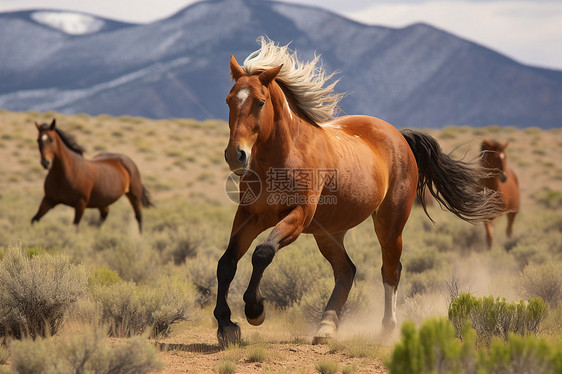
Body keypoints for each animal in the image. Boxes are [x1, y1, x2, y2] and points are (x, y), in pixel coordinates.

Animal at [213, 36, 498, 346]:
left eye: (260, 102)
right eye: (228, 100)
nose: (236, 155)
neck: (284, 155)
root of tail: (399, 136)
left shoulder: (299, 215)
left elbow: (263, 252)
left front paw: (255, 310)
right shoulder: (250, 215)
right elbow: (226, 262)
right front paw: (226, 325)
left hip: (389, 224)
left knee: (390, 270)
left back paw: (386, 328)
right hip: (328, 232)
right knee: (346, 270)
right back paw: (326, 327)